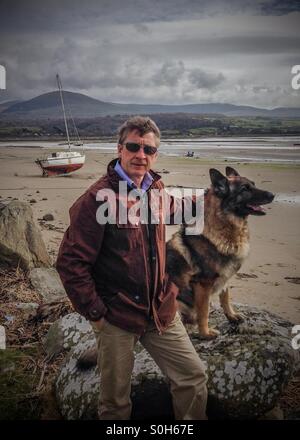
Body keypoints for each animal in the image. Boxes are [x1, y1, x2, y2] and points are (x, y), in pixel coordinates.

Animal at [166, 166, 274, 340]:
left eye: (253, 184)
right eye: (245, 189)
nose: (272, 195)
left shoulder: (225, 276)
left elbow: (225, 298)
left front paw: (232, 316)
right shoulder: (204, 284)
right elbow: (204, 312)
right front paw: (205, 333)